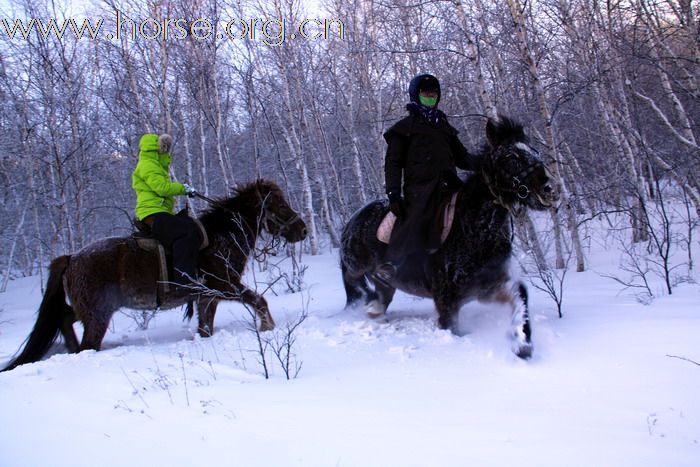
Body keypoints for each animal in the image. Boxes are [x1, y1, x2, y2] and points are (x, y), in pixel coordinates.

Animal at [2, 180, 306, 372]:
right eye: (280, 205)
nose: (302, 230)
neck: (223, 236)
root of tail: (73, 257)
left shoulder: (207, 297)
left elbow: (206, 327)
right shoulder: (223, 286)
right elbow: (259, 300)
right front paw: (267, 327)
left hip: (86, 310)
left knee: (64, 317)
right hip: (98, 315)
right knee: (85, 339)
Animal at [340, 117, 556, 358]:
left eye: (534, 151)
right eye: (511, 158)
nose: (549, 190)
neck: (474, 230)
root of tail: (353, 219)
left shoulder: (488, 287)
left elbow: (521, 294)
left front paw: (522, 343)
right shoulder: (447, 300)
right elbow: (452, 327)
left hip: (386, 282)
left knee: (380, 294)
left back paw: (373, 307)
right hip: (356, 266)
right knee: (351, 280)